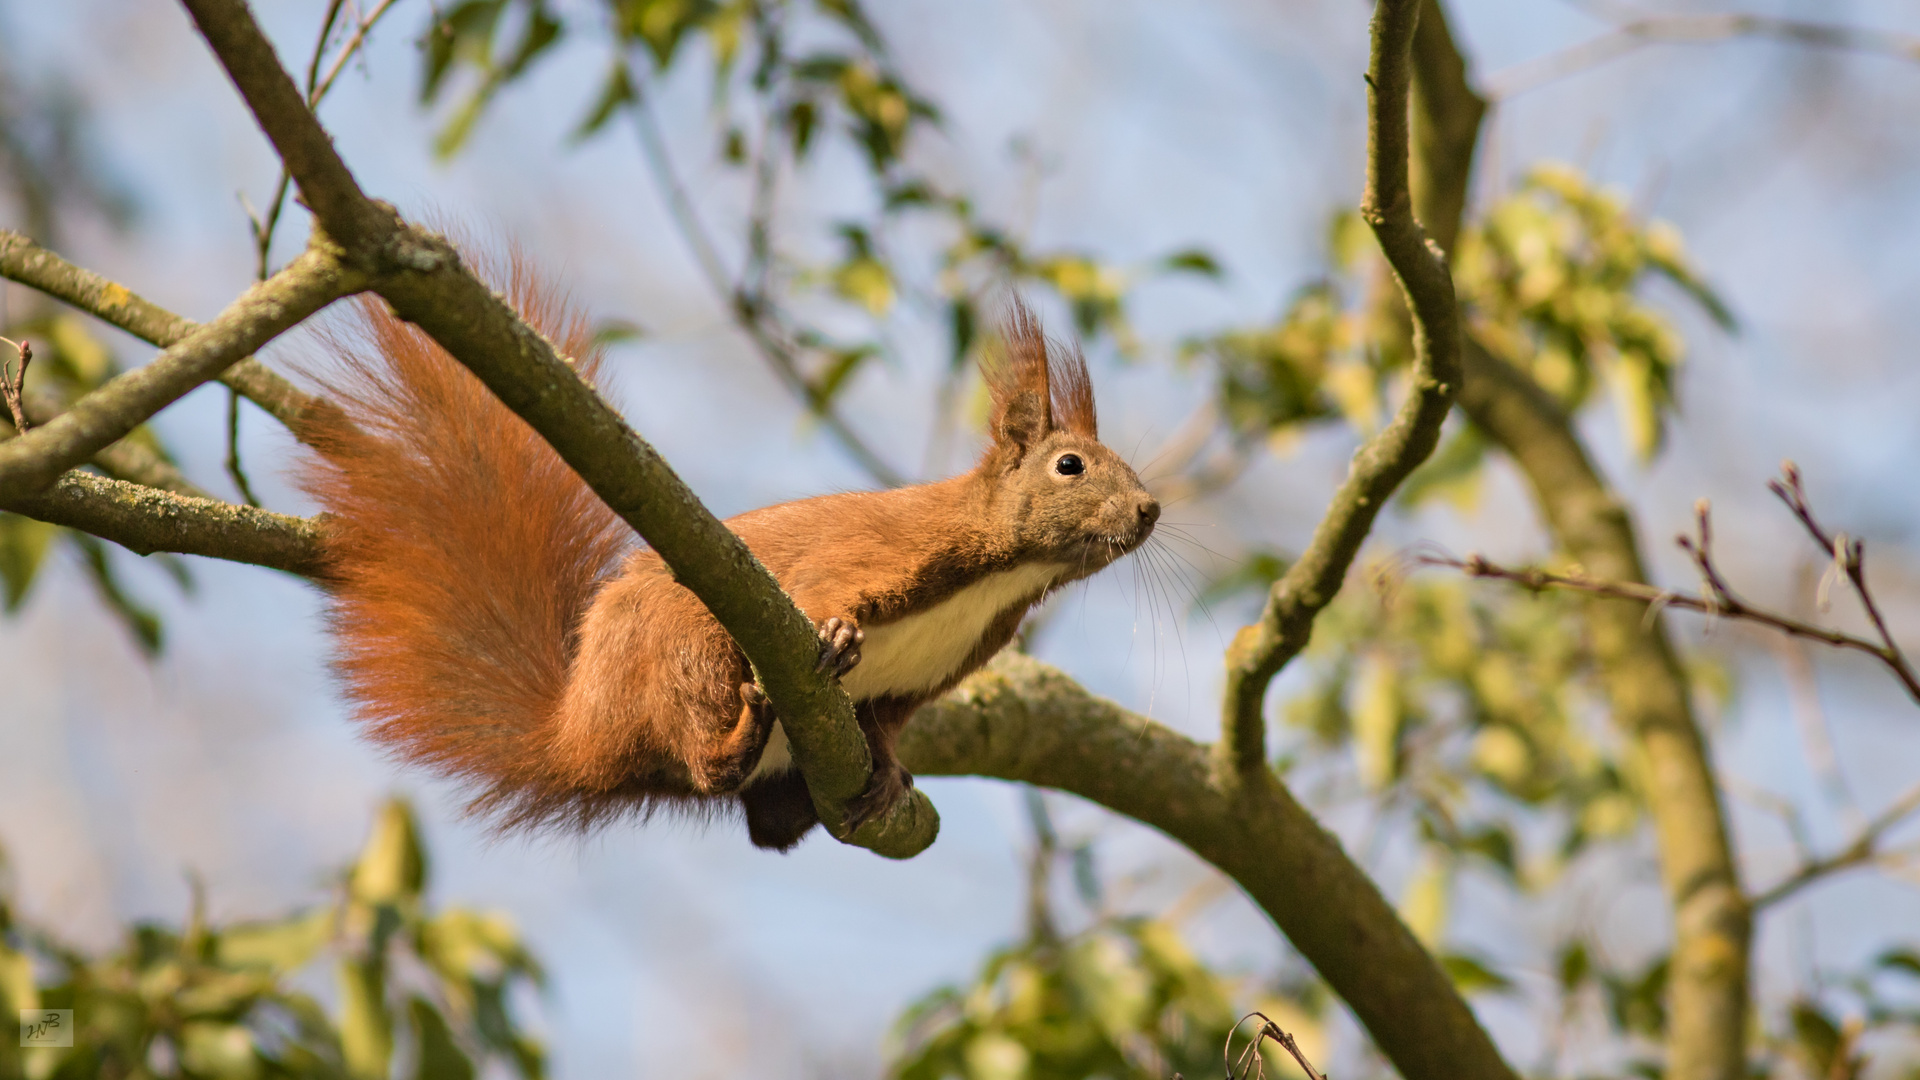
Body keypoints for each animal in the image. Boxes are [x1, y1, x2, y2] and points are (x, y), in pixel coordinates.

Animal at [299, 253, 1152, 849]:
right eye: (1070, 466)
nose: (1150, 510)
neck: (1004, 573)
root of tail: (578, 730)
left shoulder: (925, 681)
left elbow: (884, 725)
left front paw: (889, 774)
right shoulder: (876, 554)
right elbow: (824, 594)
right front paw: (838, 636)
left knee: (763, 829)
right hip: (688, 654)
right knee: (705, 760)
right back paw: (738, 740)